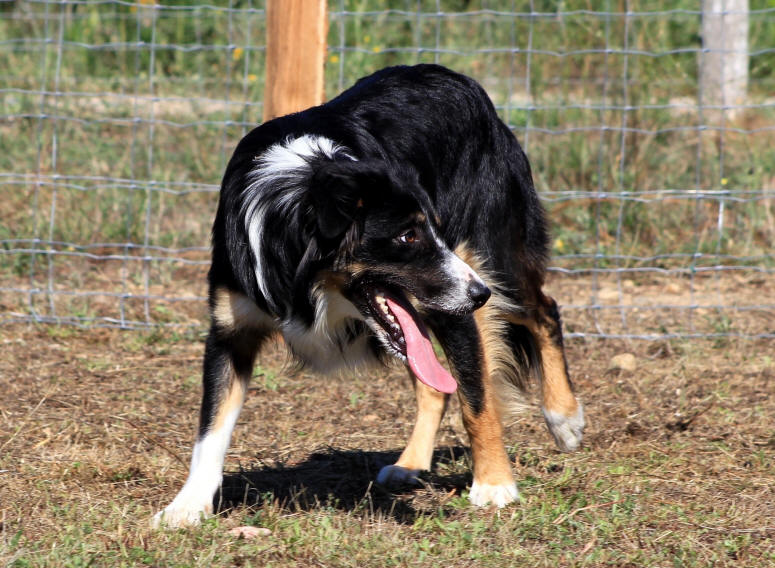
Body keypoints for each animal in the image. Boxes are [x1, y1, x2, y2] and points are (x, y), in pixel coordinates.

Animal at [155, 64, 584, 524]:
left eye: (433, 229)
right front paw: (187, 505)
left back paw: (563, 417)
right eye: (407, 235)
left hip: (493, 257)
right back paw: (411, 463)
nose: (480, 294)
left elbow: (476, 396)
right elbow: (211, 427)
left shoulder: (457, 305)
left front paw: (493, 484)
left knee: (543, 311)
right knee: (435, 382)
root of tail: (456, 77)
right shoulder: (230, 329)